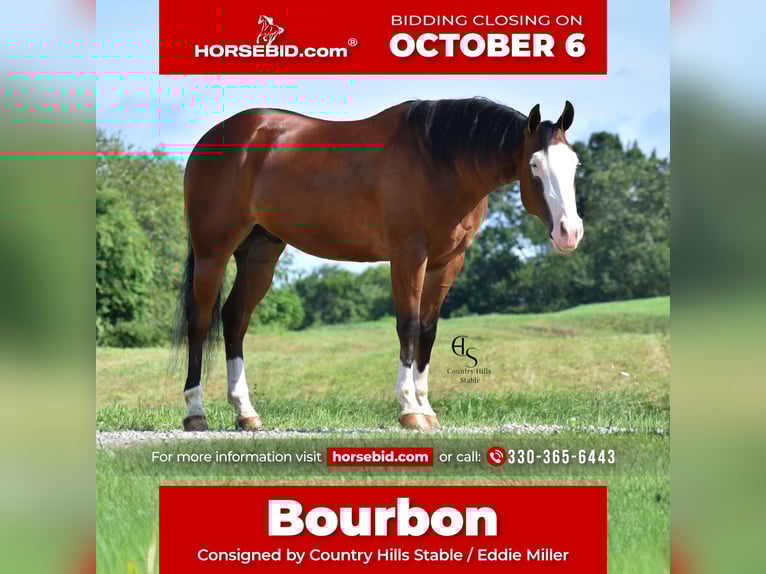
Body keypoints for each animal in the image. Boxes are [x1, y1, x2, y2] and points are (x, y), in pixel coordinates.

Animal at [175, 97, 583, 432]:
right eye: (534, 164)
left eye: (574, 164)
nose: (570, 232)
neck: (438, 161)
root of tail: (214, 138)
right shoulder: (408, 256)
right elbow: (408, 326)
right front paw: (409, 410)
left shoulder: (447, 263)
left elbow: (428, 331)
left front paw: (427, 409)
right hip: (213, 251)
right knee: (200, 321)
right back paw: (196, 413)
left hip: (260, 252)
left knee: (234, 319)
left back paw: (246, 414)